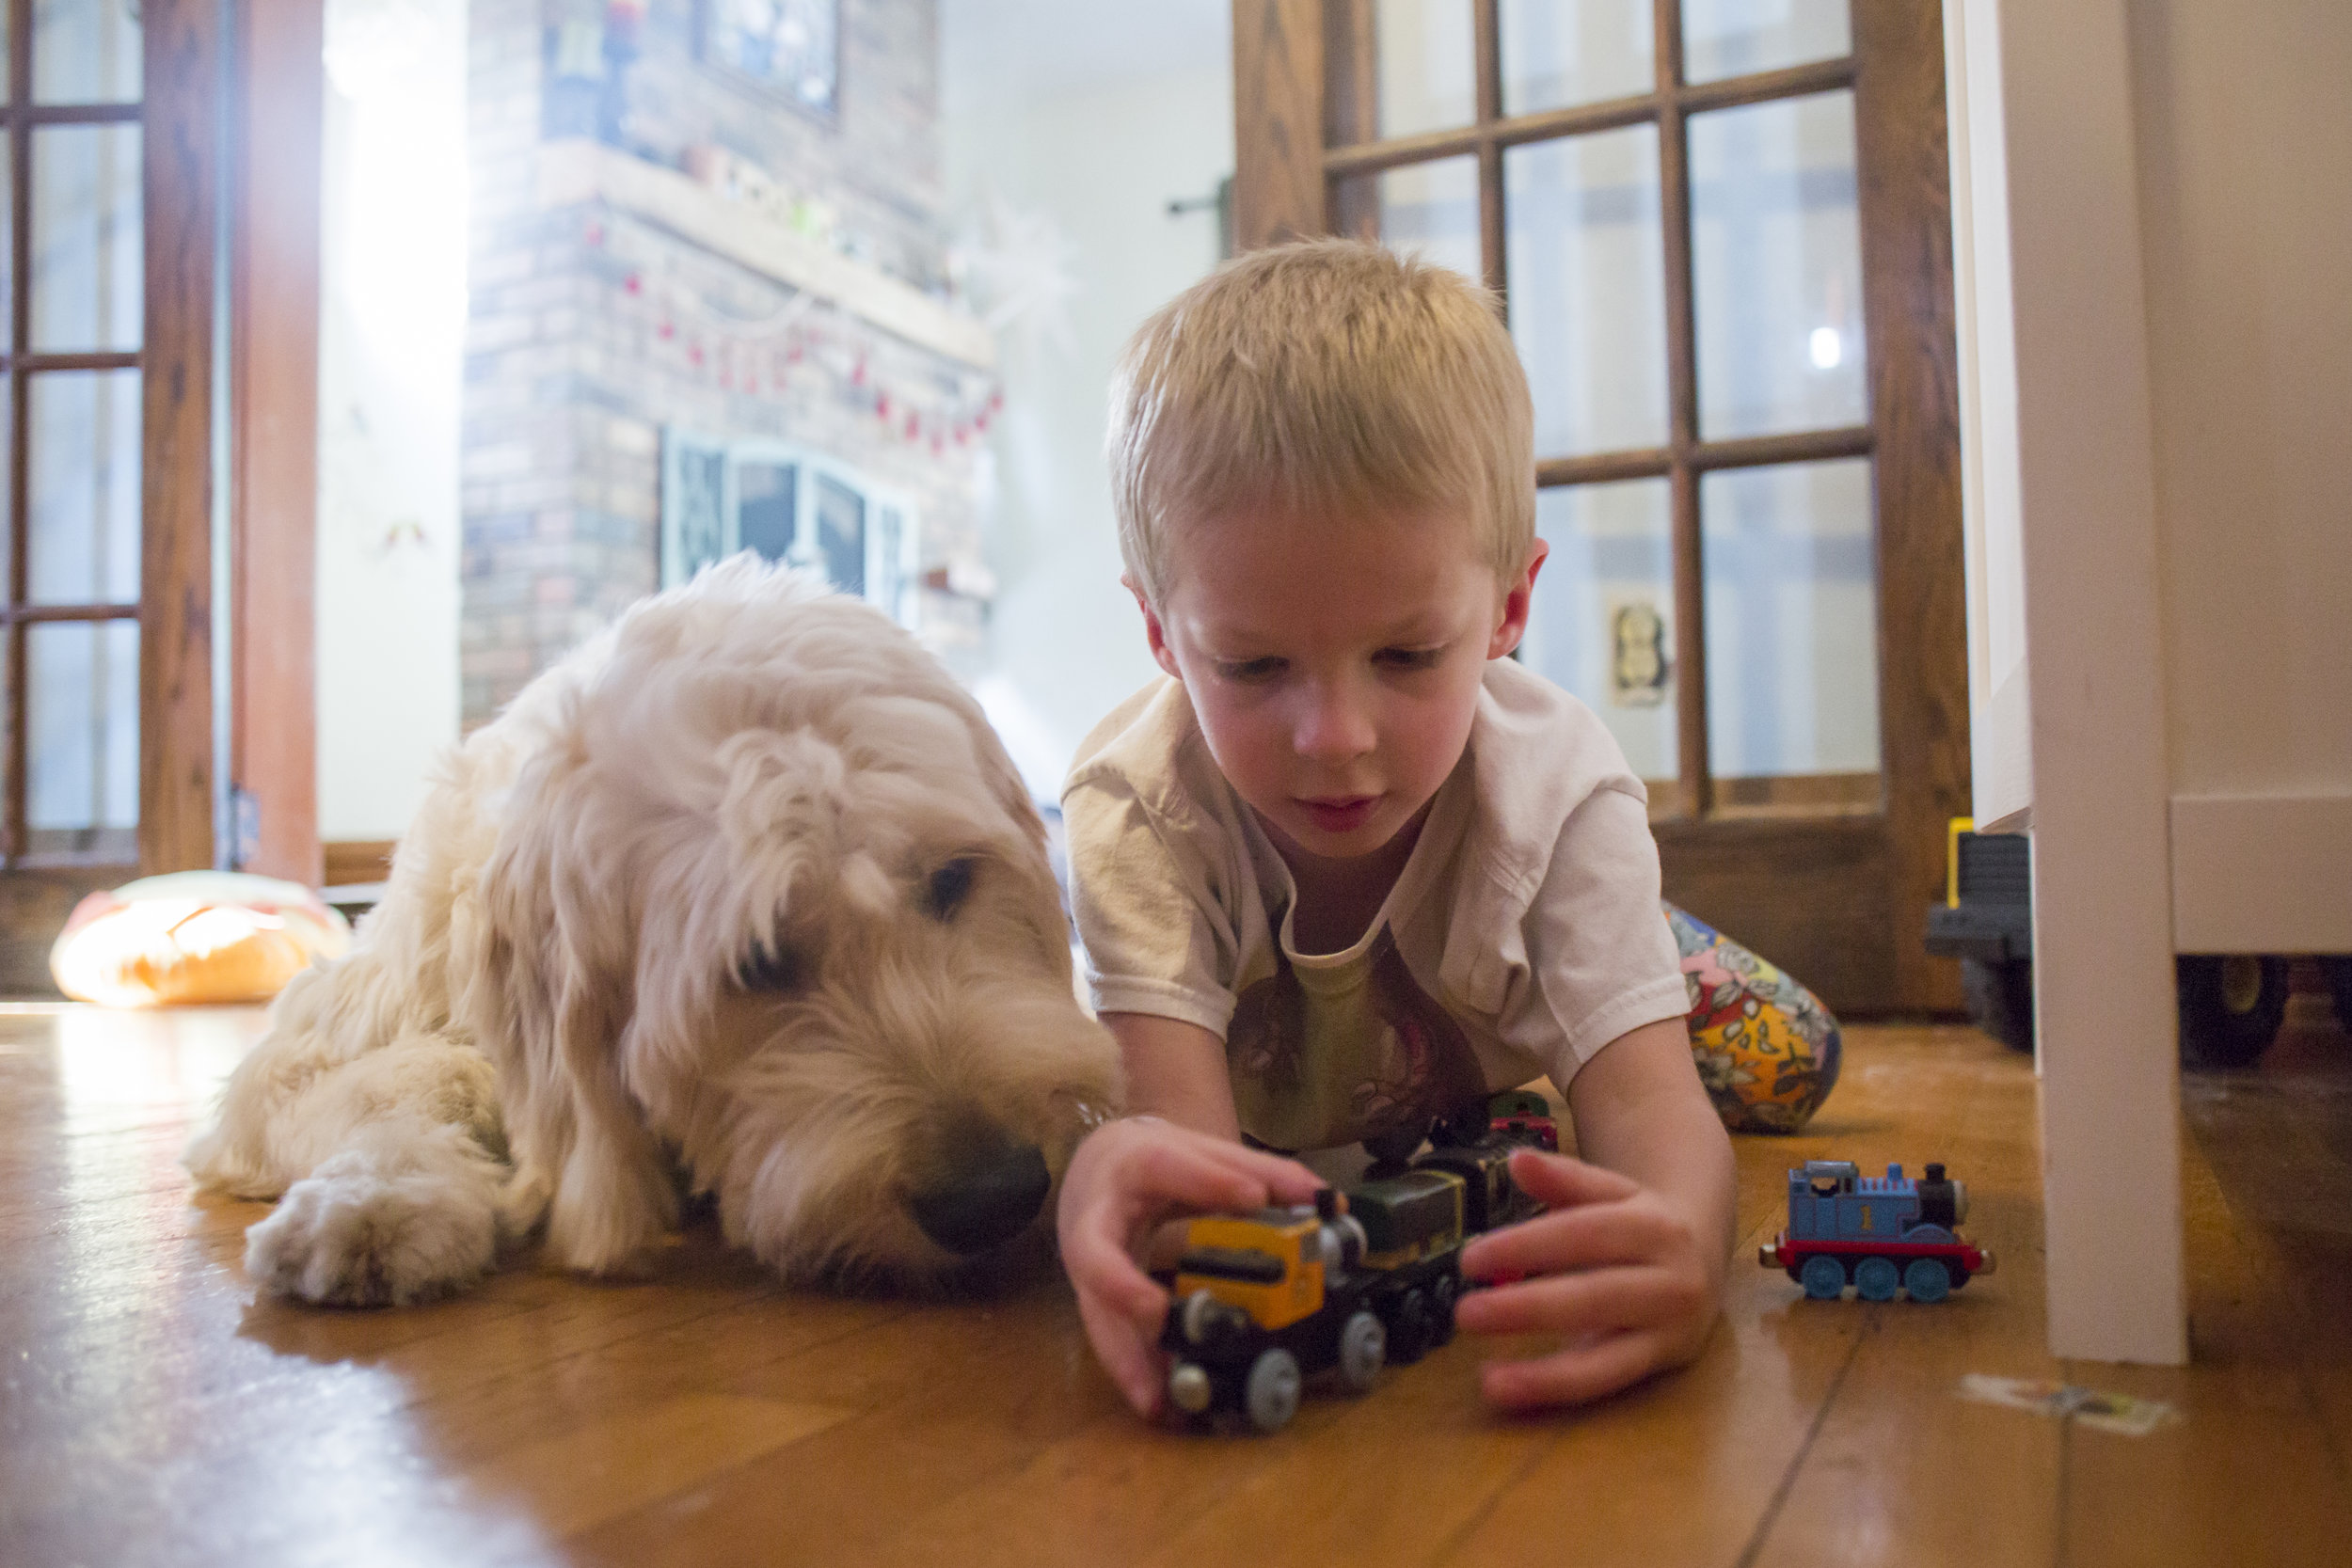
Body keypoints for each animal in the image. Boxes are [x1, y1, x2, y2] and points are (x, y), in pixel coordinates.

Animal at [188, 557, 1124, 1307]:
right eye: (758, 961)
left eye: (953, 879)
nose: (996, 1194)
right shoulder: (295, 1058)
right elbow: (417, 1074)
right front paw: (382, 1192)